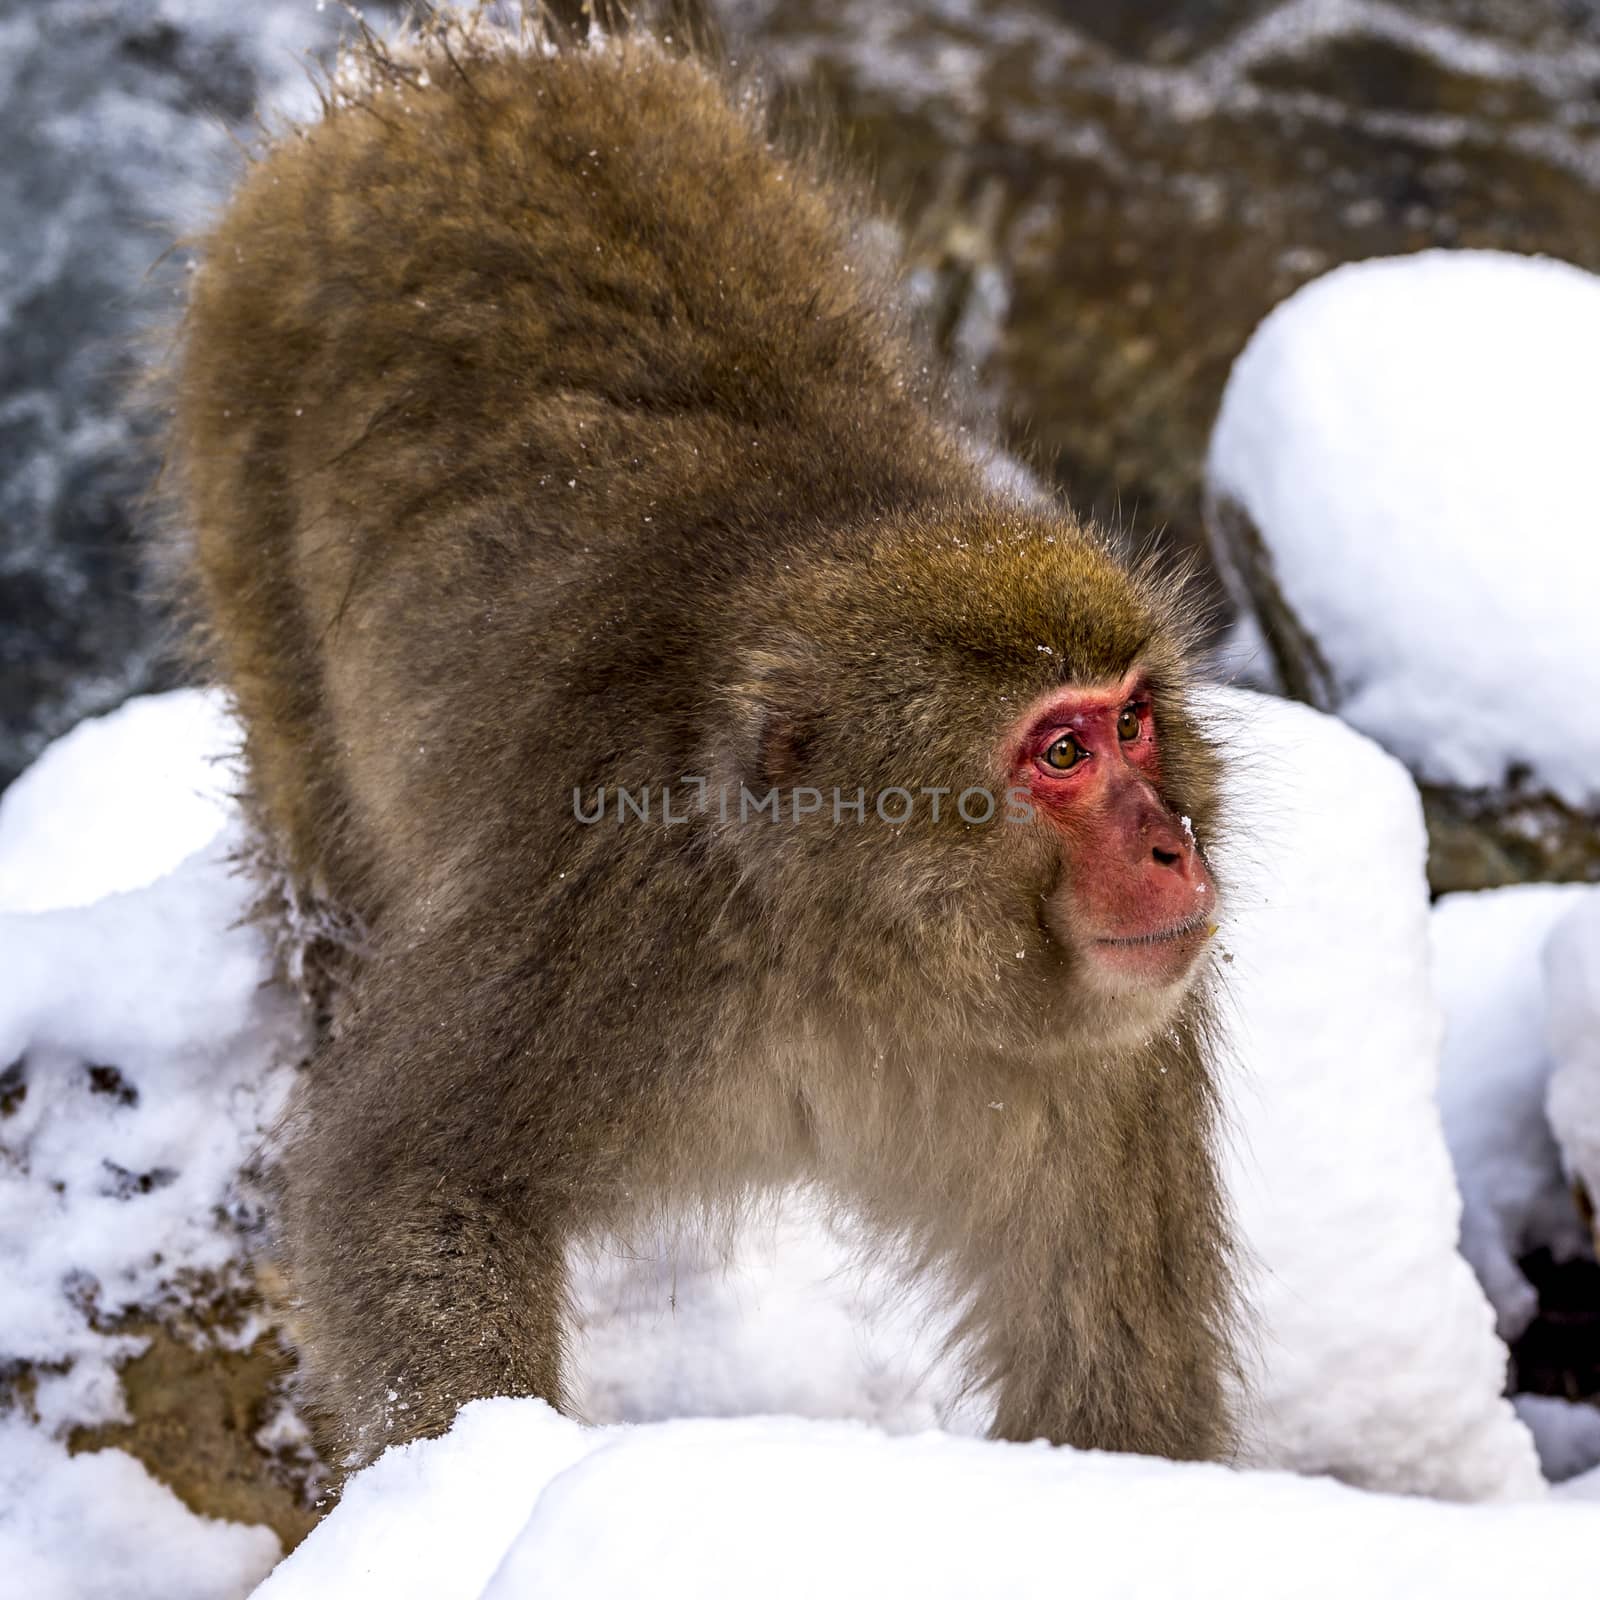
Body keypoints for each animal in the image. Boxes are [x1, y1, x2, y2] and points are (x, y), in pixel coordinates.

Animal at [168, 6, 1235, 1465]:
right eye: (1060, 754)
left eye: (1134, 721)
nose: (1173, 846)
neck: (857, 965)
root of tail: (474, 69)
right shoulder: (613, 930)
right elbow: (408, 1183)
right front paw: (470, 1478)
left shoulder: (1115, 1062)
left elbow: (1114, 1393)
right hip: (242, 408)